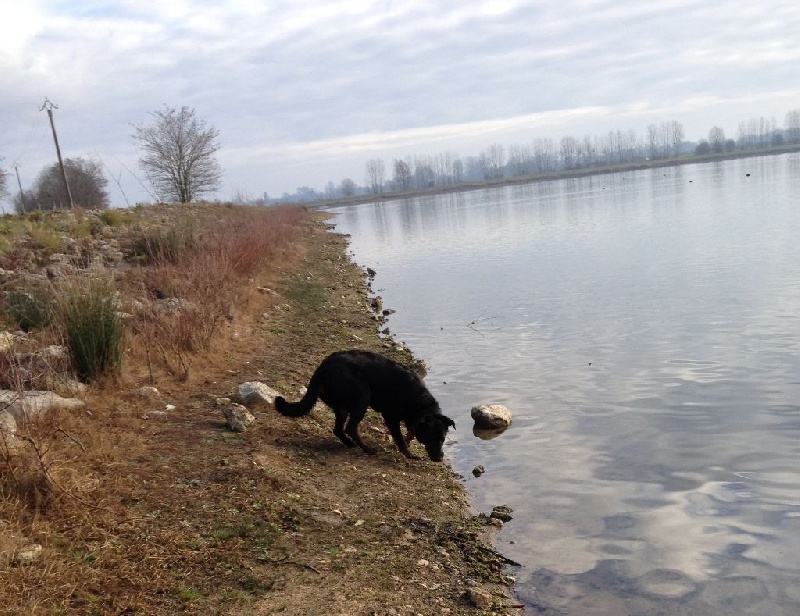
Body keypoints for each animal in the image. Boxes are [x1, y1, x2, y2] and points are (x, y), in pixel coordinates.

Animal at [274, 349, 455, 461]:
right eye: (431, 438)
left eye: (442, 439)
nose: (439, 459)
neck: (419, 402)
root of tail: (322, 369)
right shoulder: (391, 418)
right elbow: (399, 438)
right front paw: (409, 454)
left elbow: (408, 434)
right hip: (362, 398)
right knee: (351, 428)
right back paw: (367, 449)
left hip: (342, 407)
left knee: (338, 429)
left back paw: (349, 444)